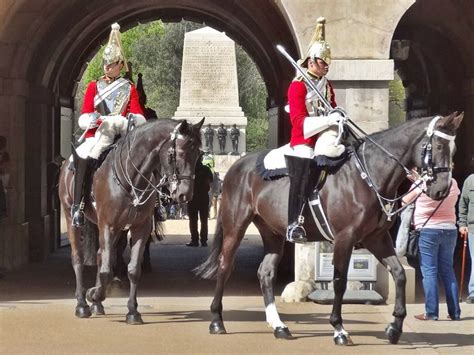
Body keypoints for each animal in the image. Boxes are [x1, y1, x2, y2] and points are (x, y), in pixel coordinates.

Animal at [58, 119, 203, 326]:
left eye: (198, 153)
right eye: (176, 153)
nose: (185, 194)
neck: (132, 177)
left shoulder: (139, 227)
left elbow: (133, 269)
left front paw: (132, 311)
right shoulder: (107, 225)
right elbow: (106, 271)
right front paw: (94, 295)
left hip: (116, 228)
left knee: (100, 255)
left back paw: (97, 304)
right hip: (72, 218)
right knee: (78, 258)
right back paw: (82, 304)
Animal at [195, 113, 462, 344]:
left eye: (454, 149)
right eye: (438, 146)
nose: (442, 190)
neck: (367, 176)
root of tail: (237, 166)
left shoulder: (377, 238)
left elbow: (399, 275)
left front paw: (395, 328)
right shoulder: (345, 238)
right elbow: (339, 281)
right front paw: (339, 328)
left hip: (273, 233)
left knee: (266, 273)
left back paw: (279, 326)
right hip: (235, 226)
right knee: (225, 266)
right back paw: (217, 320)